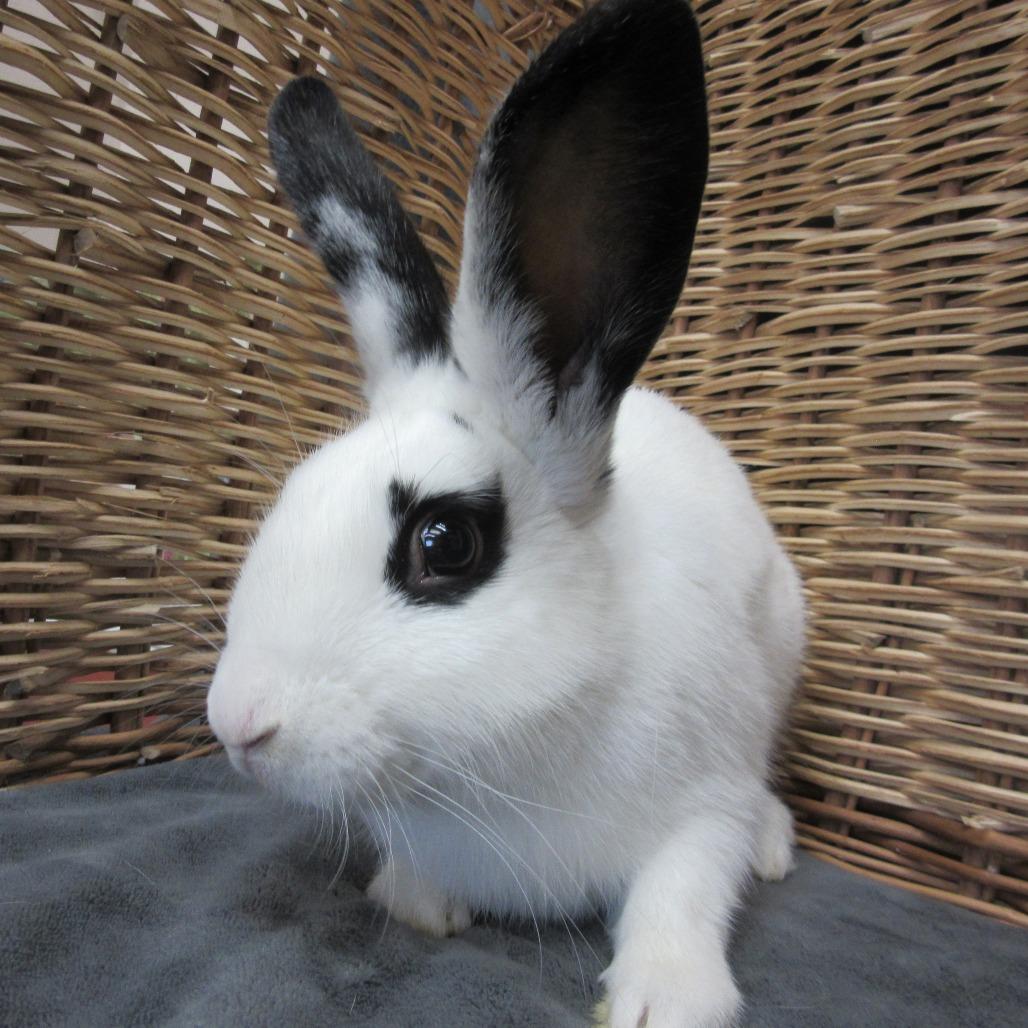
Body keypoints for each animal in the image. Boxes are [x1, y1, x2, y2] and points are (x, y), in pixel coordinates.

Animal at [206, 0, 806, 1025]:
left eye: (444, 542)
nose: (237, 724)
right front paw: (418, 905)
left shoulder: (704, 803)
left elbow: (684, 886)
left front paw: (663, 1000)